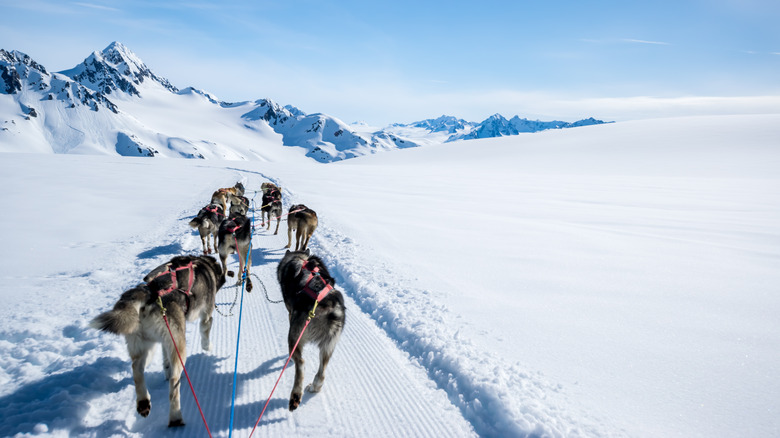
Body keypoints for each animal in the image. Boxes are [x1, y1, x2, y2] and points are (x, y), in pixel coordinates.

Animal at [92, 256, 227, 428]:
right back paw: (175, 418)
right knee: (174, 385)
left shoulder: (166, 341)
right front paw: (208, 347)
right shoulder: (206, 316)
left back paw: (143, 402)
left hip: (146, 346)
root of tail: (149, 293)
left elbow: (165, 361)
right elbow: (205, 335)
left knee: (136, 368)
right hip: (178, 348)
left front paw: (166, 371)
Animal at [278, 250, 344, 410]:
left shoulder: (290, 313)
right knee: (322, 373)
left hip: (294, 337)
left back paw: (295, 395)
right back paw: (314, 387)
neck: (300, 258)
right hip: (328, 347)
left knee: (301, 363)